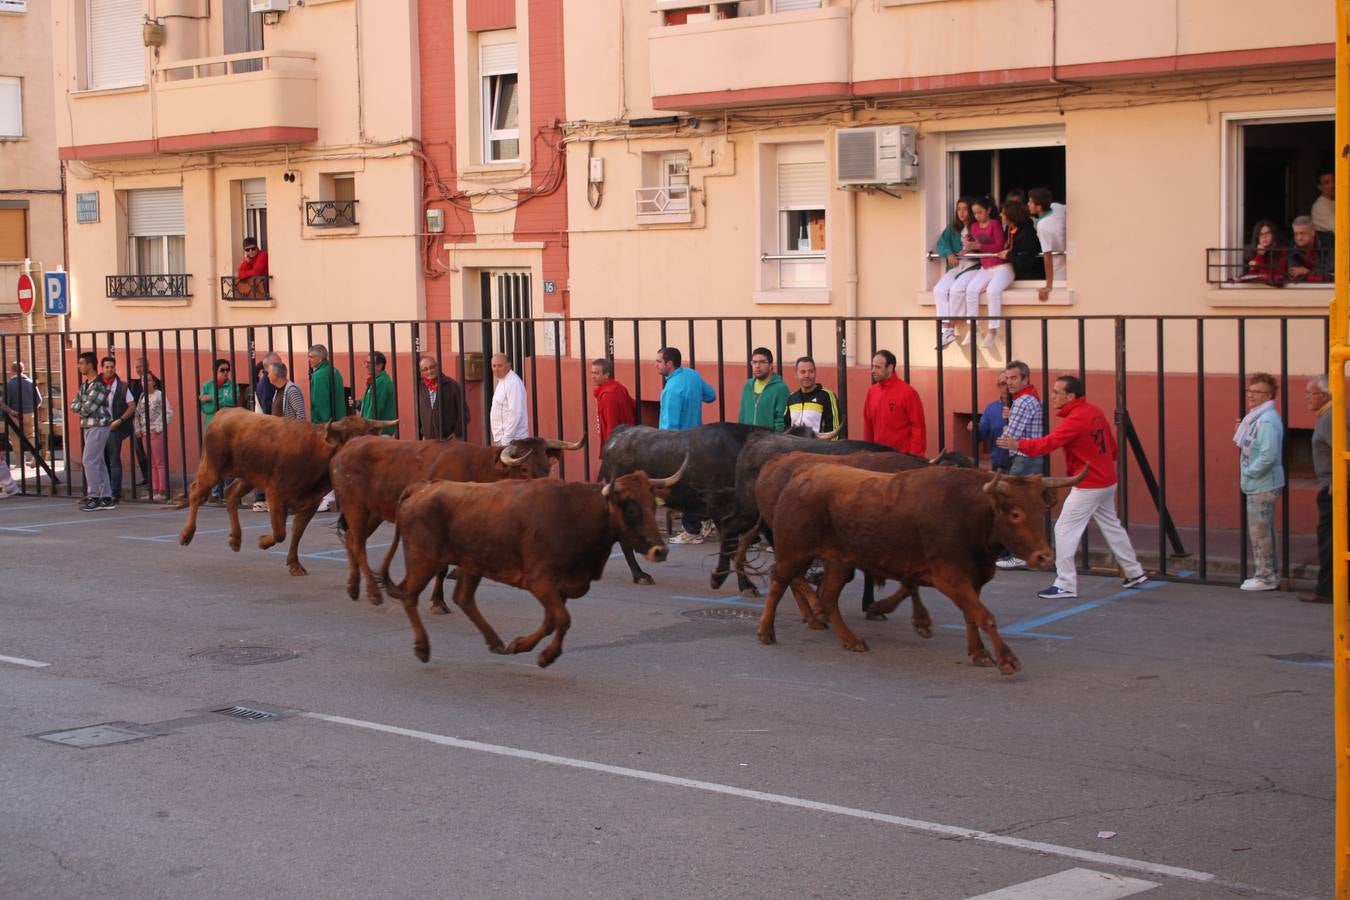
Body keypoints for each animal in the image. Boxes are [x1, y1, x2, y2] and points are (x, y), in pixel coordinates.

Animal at [179, 407, 394, 577]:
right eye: (350, 440)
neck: (316, 452)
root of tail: (224, 413)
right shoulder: (276, 494)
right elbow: (280, 532)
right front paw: (263, 542)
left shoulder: (311, 502)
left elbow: (296, 532)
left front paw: (294, 564)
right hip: (213, 467)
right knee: (196, 492)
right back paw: (186, 535)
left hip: (248, 476)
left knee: (231, 493)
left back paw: (235, 539)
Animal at [330, 434, 580, 609]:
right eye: (525, 469)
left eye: (547, 468)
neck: (480, 469)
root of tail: (345, 449)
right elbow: (441, 566)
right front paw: (438, 602)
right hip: (355, 506)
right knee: (358, 544)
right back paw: (373, 593)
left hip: (373, 512)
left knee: (351, 539)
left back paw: (353, 587)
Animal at [388, 464, 685, 669]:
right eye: (632, 509)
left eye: (652, 506)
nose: (660, 550)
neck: (579, 513)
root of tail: (423, 487)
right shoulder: (540, 582)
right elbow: (562, 619)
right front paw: (547, 656)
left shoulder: (559, 587)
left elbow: (551, 620)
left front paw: (521, 645)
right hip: (424, 560)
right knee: (409, 595)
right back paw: (423, 647)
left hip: (472, 564)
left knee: (463, 598)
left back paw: (495, 642)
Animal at [761, 469, 1085, 671]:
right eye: (1016, 514)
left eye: (1040, 511)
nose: (1044, 556)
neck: (972, 513)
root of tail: (801, 475)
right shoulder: (951, 577)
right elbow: (984, 616)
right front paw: (1006, 659)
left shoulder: (973, 579)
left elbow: (970, 616)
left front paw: (979, 653)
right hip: (794, 551)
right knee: (779, 580)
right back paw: (766, 631)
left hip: (841, 560)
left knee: (827, 596)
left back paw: (850, 640)